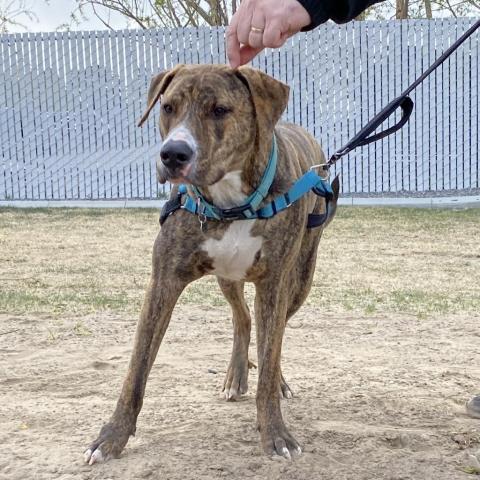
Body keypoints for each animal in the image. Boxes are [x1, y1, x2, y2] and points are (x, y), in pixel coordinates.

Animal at [84, 64, 340, 464]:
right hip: (228, 278)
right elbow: (136, 370)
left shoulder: (274, 283)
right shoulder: (163, 282)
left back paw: (273, 378)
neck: (231, 202)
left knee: (273, 334)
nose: (173, 154)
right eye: (168, 107)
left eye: (220, 110)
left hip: (299, 280)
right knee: (243, 318)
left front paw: (276, 434)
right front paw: (112, 436)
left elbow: (269, 361)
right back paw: (235, 376)